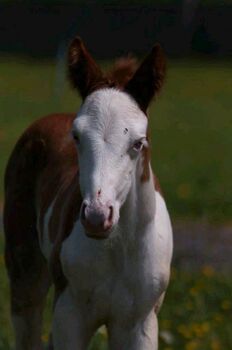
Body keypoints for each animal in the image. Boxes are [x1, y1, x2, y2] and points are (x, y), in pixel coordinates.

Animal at [3, 37, 172, 350]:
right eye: (76, 136)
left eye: (138, 143)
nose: (96, 217)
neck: (118, 246)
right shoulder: (70, 314)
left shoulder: (139, 324)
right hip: (25, 272)